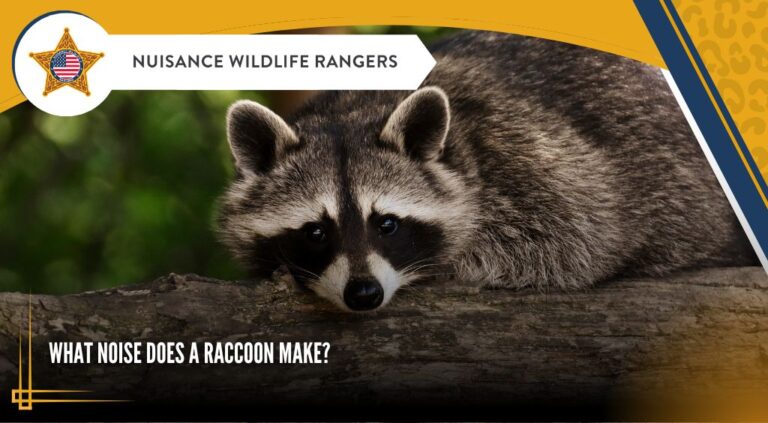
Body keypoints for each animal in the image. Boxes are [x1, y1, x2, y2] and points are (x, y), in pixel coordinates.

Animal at [217, 31, 756, 312]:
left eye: (386, 223)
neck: (356, 109)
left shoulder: (536, 161)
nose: (364, 294)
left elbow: (578, 239)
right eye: (314, 231)